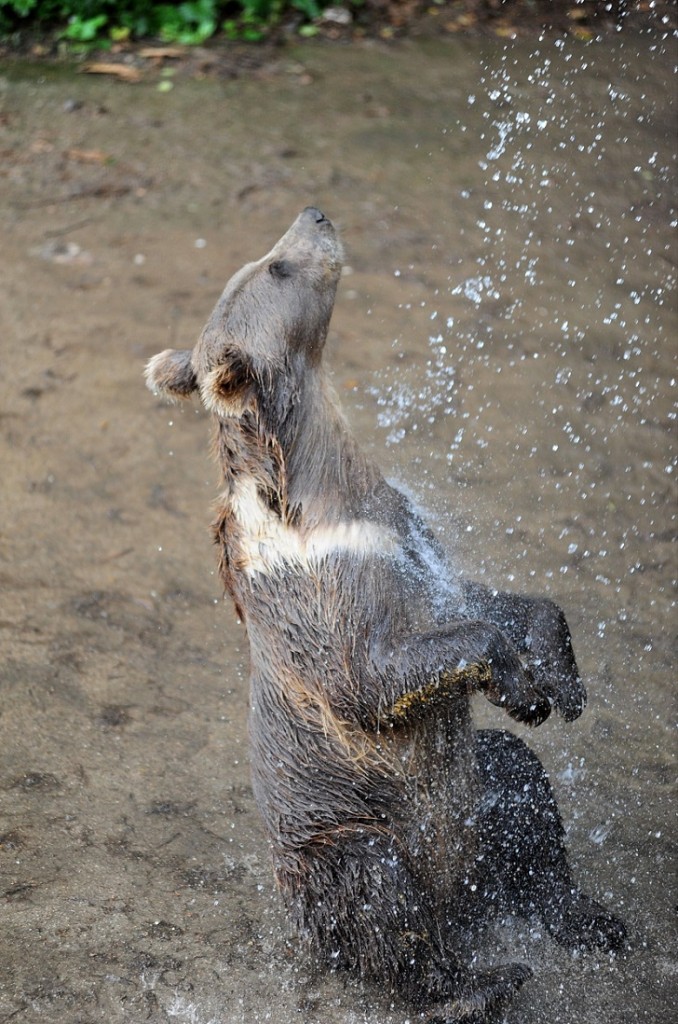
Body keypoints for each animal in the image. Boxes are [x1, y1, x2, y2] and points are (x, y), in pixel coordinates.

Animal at [144, 207, 626, 1024]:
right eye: (275, 267)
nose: (316, 214)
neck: (329, 485)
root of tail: (462, 905)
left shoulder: (403, 536)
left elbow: (486, 600)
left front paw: (557, 684)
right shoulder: (320, 597)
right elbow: (370, 678)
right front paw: (518, 684)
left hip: (473, 799)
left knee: (522, 790)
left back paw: (591, 919)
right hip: (339, 836)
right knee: (382, 897)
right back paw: (478, 983)